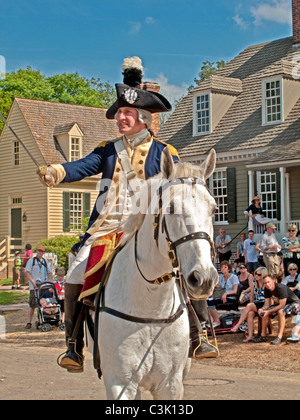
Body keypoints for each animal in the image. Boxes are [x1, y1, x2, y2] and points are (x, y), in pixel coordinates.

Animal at [96, 148, 218, 400]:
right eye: (170, 208)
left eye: (214, 209)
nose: (204, 278)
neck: (151, 306)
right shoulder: (120, 383)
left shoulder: (171, 384)